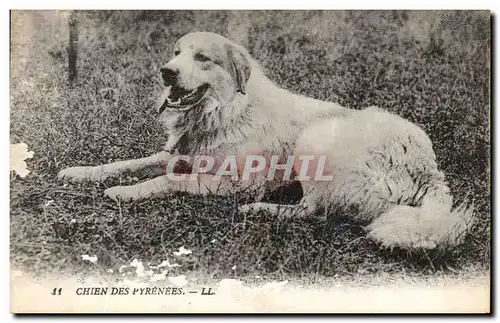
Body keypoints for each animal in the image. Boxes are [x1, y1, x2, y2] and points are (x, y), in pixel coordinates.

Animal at [57, 31, 472, 252]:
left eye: (203, 58)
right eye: (176, 53)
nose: (166, 72)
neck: (223, 111)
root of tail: (430, 169)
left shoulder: (237, 182)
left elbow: (167, 180)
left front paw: (126, 192)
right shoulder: (178, 153)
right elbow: (126, 163)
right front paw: (81, 172)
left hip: (317, 138)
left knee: (312, 210)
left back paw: (261, 211)